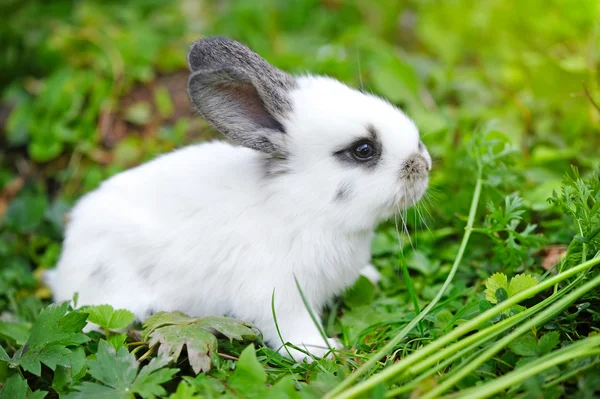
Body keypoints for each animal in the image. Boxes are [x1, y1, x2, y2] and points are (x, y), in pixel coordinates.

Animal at [47, 38, 432, 362]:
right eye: (363, 150)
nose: (424, 164)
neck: (303, 204)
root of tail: (66, 264)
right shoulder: (280, 294)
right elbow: (292, 330)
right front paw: (324, 351)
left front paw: (371, 277)